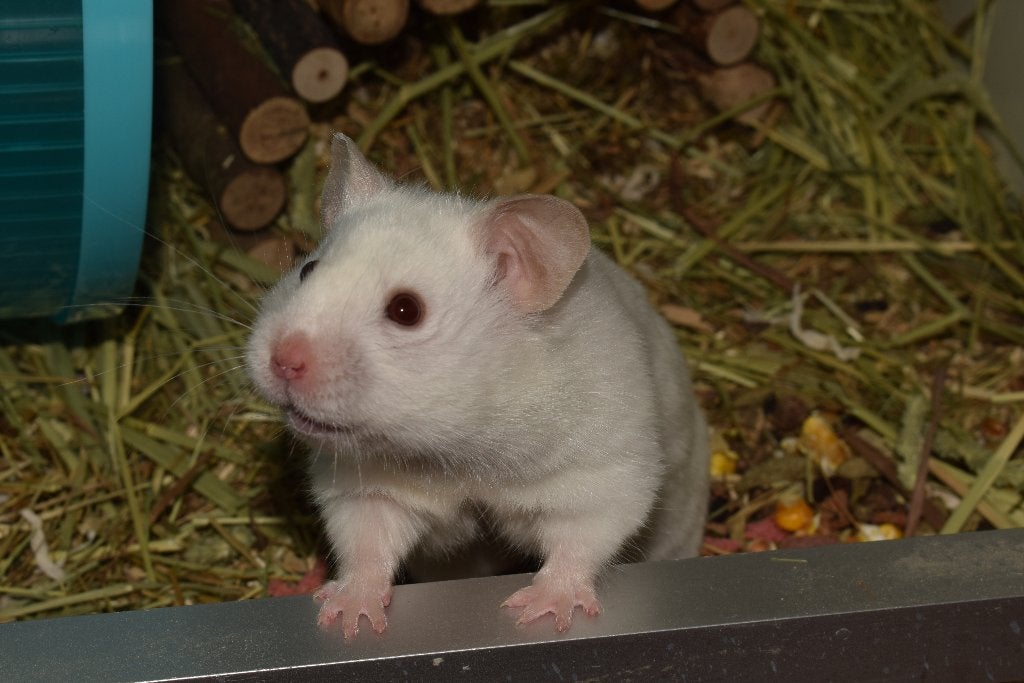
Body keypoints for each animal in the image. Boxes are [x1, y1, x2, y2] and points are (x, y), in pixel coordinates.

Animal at [246, 133, 709, 638]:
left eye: (406, 310)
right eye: (306, 270)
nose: (283, 361)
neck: (455, 448)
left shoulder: (603, 474)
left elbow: (579, 541)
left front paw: (538, 613)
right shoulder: (367, 488)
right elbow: (367, 543)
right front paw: (348, 617)